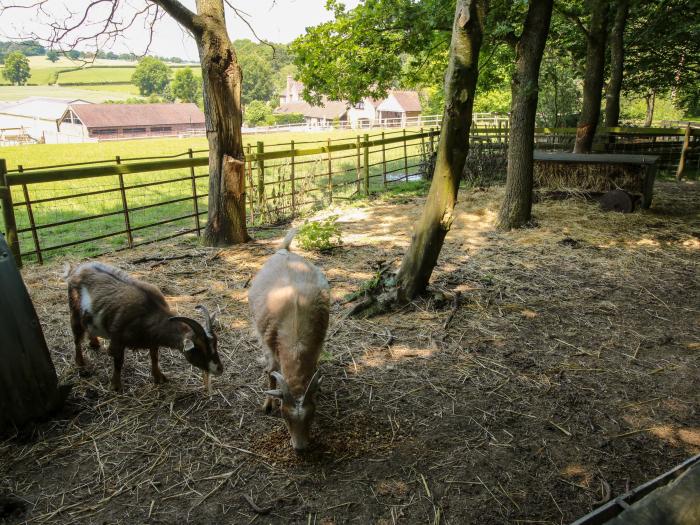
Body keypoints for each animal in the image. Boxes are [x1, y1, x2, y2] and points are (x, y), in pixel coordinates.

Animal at [66, 260, 221, 390]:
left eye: (215, 344)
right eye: (199, 348)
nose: (220, 369)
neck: (149, 312)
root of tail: (76, 269)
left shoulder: (153, 339)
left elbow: (154, 357)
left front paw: (159, 377)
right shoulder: (117, 338)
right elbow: (118, 362)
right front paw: (116, 386)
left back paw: (95, 343)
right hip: (74, 312)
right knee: (77, 338)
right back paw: (80, 362)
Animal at [249, 229, 330, 450]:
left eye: (312, 415)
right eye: (284, 416)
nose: (300, 448)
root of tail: (284, 250)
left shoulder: (317, 344)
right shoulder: (269, 344)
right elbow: (270, 371)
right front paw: (267, 405)